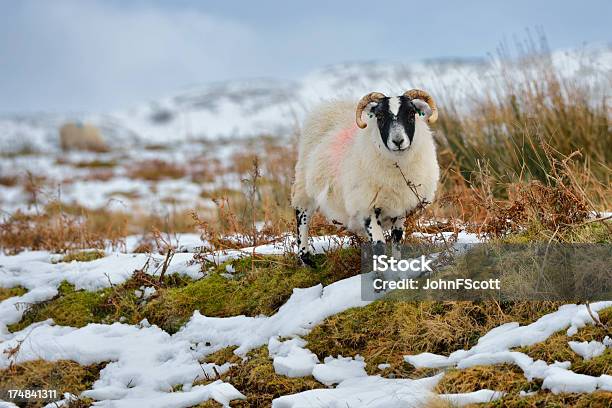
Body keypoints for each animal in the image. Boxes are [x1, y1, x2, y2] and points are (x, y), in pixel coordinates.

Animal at [292, 89, 440, 266]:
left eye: (412, 114)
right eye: (379, 116)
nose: (398, 141)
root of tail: (330, 106)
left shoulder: (401, 206)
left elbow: (397, 238)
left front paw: (396, 264)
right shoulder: (366, 206)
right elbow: (379, 244)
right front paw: (380, 271)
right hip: (304, 186)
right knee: (302, 218)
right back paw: (305, 258)